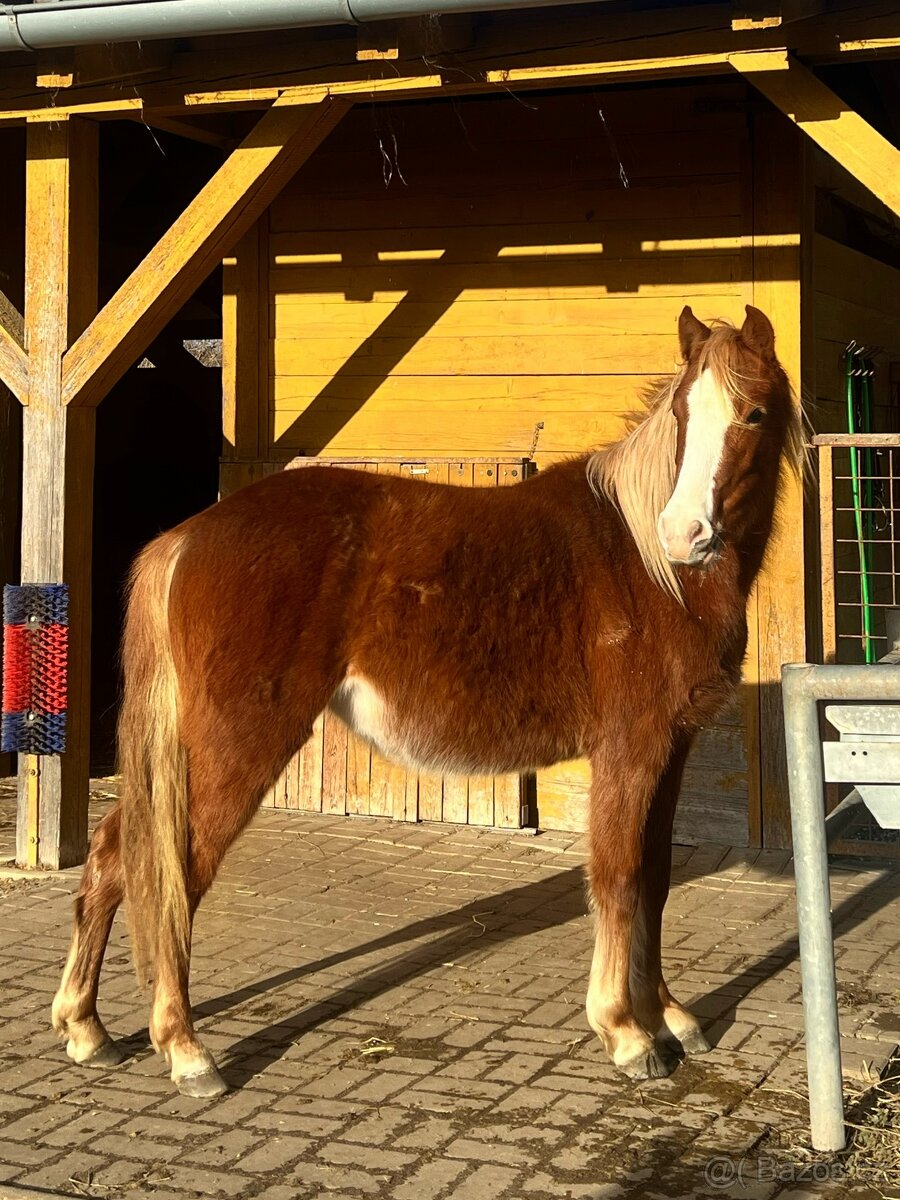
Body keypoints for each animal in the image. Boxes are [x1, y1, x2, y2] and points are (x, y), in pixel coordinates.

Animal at [52, 305, 803, 1098]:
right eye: (684, 414)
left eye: (753, 413)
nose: (684, 534)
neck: (650, 570)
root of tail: (186, 537)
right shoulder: (631, 750)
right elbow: (619, 876)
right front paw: (628, 1035)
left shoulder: (670, 749)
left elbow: (653, 878)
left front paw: (670, 1018)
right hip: (235, 750)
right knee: (171, 874)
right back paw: (186, 1050)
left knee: (114, 857)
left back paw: (87, 1028)